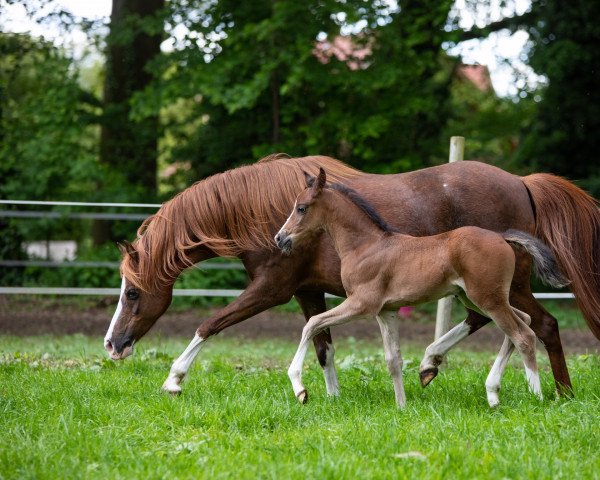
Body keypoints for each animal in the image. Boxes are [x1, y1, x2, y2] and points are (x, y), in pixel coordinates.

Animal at [276, 167, 568, 406]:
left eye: (301, 208)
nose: (280, 238)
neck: (365, 246)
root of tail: (502, 237)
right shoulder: (387, 311)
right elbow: (393, 360)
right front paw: (401, 406)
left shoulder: (362, 304)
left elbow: (312, 323)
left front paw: (299, 389)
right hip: (479, 298)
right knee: (524, 320)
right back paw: (492, 392)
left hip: (489, 299)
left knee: (524, 335)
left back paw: (535, 396)